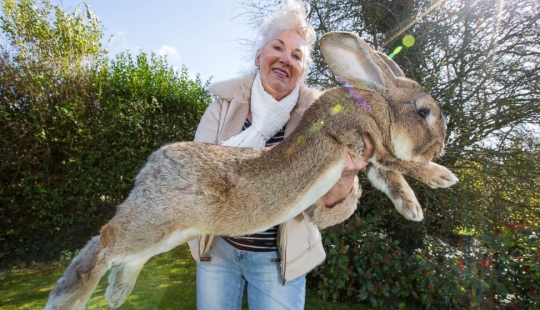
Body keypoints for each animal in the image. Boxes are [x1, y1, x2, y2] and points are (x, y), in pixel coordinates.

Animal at [46, 32, 458, 308]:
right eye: (423, 111)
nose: (441, 145)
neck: (374, 103)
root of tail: (150, 168)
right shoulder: (363, 138)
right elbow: (400, 163)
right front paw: (442, 176)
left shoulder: (370, 160)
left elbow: (390, 178)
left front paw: (412, 209)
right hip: (156, 221)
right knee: (104, 242)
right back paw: (70, 298)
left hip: (167, 232)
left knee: (124, 255)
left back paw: (116, 294)